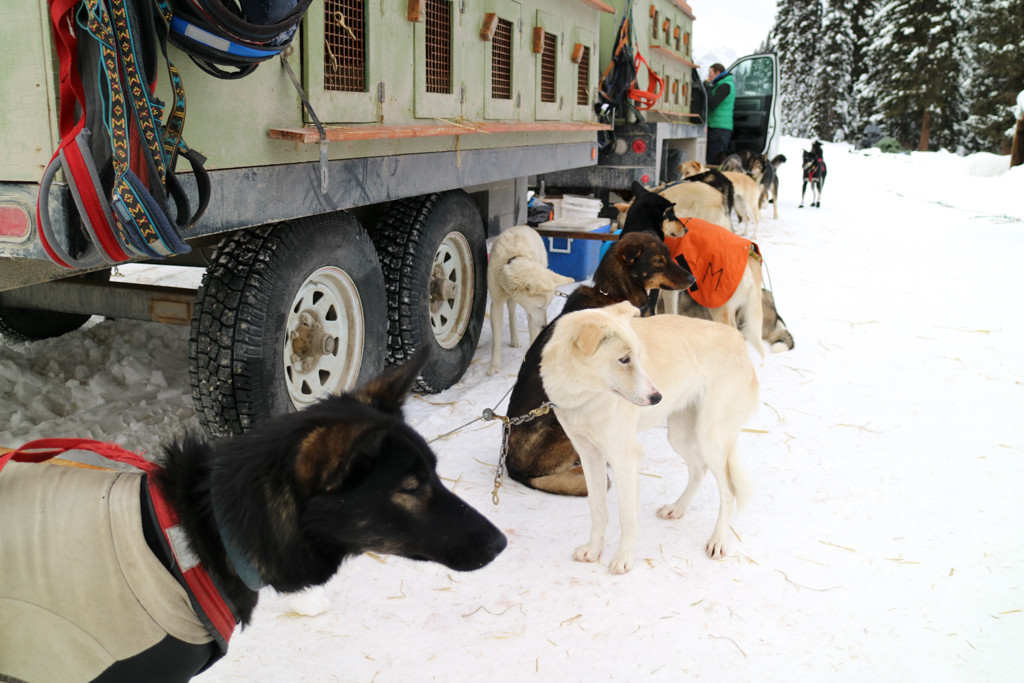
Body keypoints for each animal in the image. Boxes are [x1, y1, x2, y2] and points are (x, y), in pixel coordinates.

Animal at [487, 225, 577, 374]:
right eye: (539, 307)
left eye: (546, 306)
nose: (544, 326)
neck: (513, 258)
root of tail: (525, 226)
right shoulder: (496, 304)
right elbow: (496, 340)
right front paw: (494, 366)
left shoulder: (532, 315)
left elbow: (533, 334)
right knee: (512, 315)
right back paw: (515, 339)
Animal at [540, 301, 757, 573]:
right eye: (624, 359)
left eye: (638, 357)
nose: (657, 398)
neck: (584, 395)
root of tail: (738, 339)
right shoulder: (590, 456)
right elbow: (598, 510)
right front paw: (593, 550)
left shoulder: (625, 459)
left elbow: (627, 518)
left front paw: (623, 558)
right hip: (679, 435)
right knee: (699, 470)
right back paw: (677, 508)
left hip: (710, 438)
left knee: (728, 491)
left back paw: (718, 540)